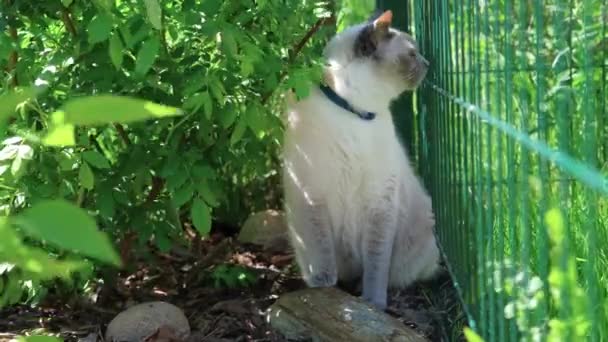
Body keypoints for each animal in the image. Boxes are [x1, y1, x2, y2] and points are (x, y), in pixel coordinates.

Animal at [280, 11, 442, 310]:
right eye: (412, 54)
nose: (428, 63)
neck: (355, 113)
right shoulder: (312, 195)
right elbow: (321, 251)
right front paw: (323, 285)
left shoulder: (381, 200)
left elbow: (376, 263)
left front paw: (373, 302)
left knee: (397, 274)